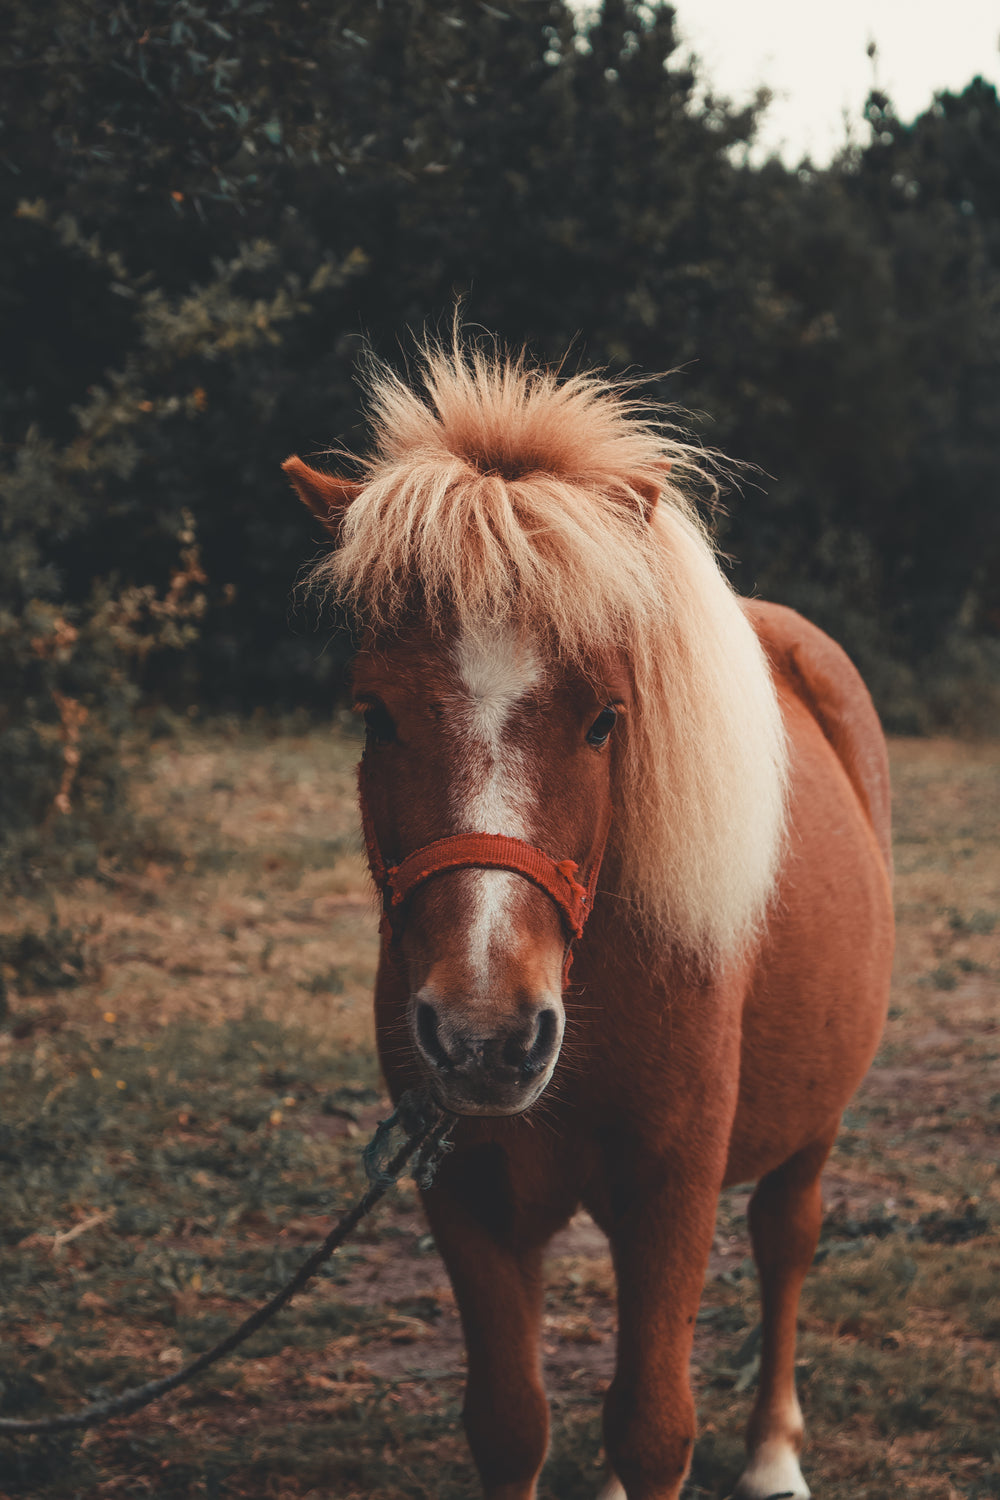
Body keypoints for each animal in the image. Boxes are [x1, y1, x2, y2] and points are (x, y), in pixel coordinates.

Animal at [284, 343, 893, 1500]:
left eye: (607, 719)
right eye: (374, 715)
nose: (483, 1035)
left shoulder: (671, 1188)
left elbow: (652, 1427)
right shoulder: (468, 1191)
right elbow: (511, 1422)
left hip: (811, 1131)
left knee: (786, 1241)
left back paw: (774, 1456)